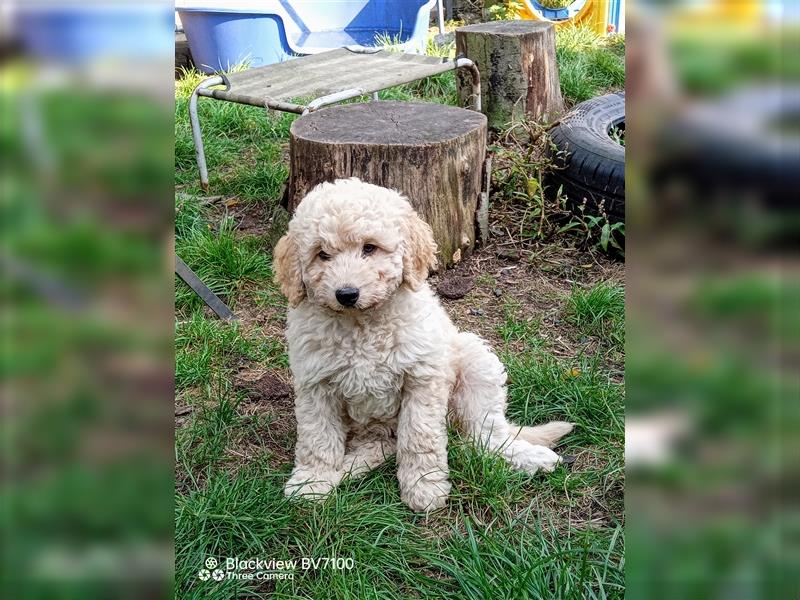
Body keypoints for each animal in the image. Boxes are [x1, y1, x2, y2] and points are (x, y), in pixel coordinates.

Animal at [276, 177, 576, 510]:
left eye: (369, 248)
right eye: (322, 254)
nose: (347, 294)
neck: (362, 324)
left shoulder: (422, 378)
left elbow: (420, 437)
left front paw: (424, 485)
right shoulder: (316, 384)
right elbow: (317, 437)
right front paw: (312, 481)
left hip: (475, 363)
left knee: (485, 437)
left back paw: (532, 457)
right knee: (388, 444)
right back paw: (350, 466)